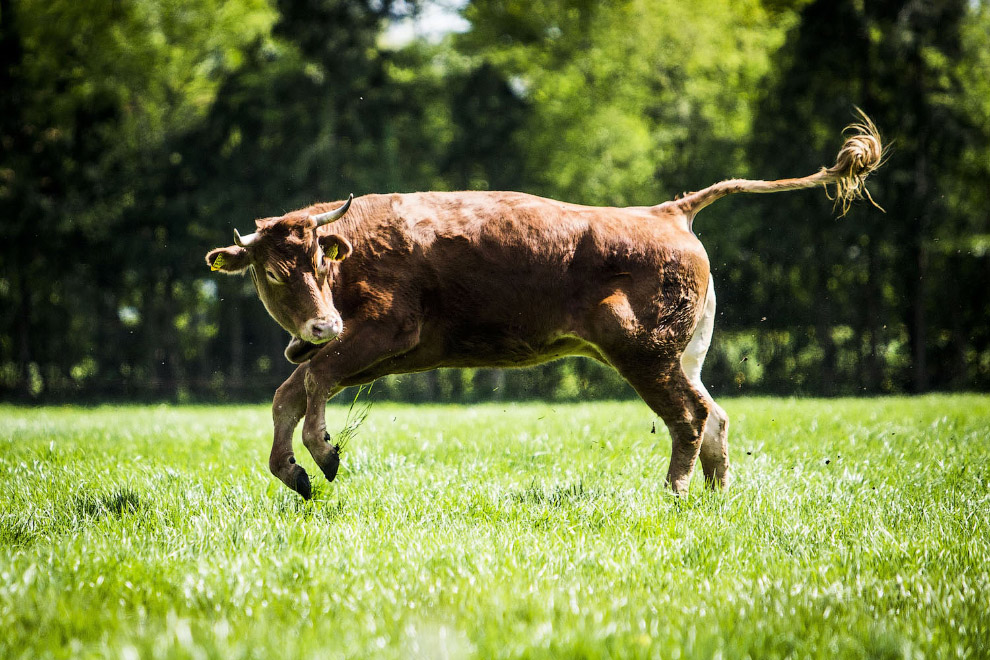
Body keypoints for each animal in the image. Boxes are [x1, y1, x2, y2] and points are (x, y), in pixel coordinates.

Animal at [206, 113, 882, 500]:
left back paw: (674, 493)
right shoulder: (373, 351)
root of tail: (667, 212)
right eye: (273, 271)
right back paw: (717, 498)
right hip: (681, 357)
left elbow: (311, 381)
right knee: (713, 415)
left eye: (323, 264)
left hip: (646, 356)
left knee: (689, 418)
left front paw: (322, 455)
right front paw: (294, 472)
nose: (323, 323)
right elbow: (292, 389)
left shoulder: (384, 334)